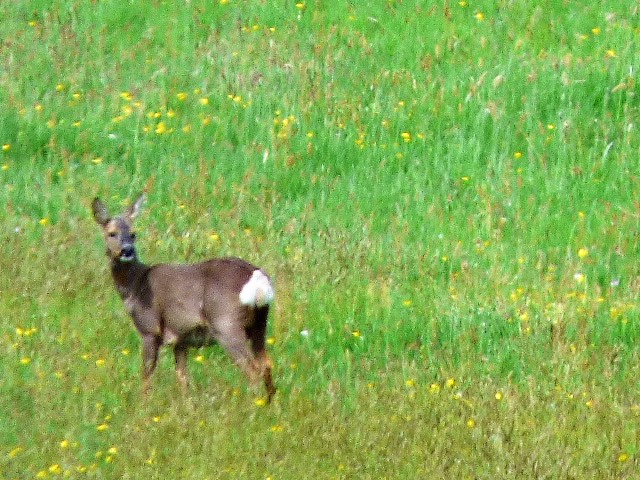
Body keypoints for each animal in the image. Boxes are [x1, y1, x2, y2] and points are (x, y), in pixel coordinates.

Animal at [91, 194, 276, 402]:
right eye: (111, 233)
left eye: (133, 233)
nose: (127, 250)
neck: (136, 285)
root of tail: (258, 279)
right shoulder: (181, 339)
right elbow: (183, 378)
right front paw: (186, 404)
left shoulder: (149, 329)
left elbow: (147, 374)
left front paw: (144, 404)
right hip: (259, 323)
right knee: (267, 364)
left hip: (226, 324)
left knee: (253, 370)